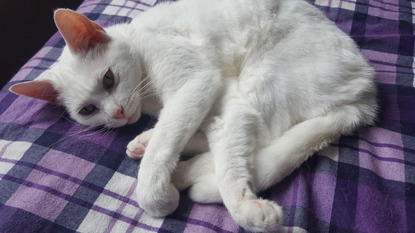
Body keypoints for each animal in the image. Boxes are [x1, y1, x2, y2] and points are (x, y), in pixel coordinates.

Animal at [10, 0, 380, 232]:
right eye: (87, 110)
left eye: (109, 79)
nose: (117, 113)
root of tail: (365, 94)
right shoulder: (217, 95)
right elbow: (187, 132)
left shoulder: (196, 83)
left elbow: (170, 146)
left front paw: (160, 196)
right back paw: (146, 143)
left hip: (261, 78)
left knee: (251, 143)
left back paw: (182, 176)